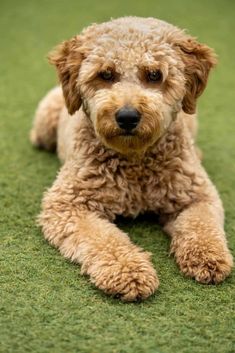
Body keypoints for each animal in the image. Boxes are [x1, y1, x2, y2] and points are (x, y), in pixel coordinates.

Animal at [30, 16, 233, 302]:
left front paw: (208, 257)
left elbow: (201, 225)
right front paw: (130, 272)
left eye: (154, 75)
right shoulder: (67, 205)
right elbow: (105, 239)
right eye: (106, 74)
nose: (127, 116)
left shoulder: (198, 195)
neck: (135, 161)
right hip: (45, 122)